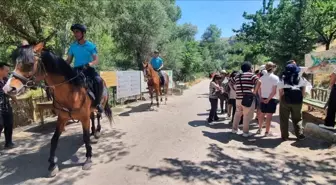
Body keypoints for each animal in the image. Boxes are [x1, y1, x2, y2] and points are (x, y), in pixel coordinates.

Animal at [2, 42, 113, 177]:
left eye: (30, 64)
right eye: (16, 62)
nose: (8, 88)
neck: (72, 93)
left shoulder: (84, 118)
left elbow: (85, 137)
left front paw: (88, 159)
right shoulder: (62, 118)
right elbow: (54, 140)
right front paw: (52, 164)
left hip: (99, 105)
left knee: (98, 116)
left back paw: (97, 131)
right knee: (93, 117)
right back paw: (93, 131)